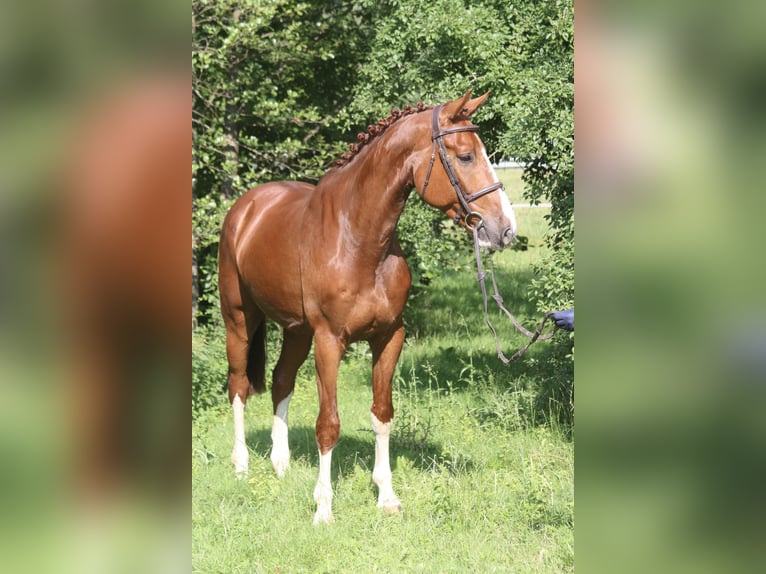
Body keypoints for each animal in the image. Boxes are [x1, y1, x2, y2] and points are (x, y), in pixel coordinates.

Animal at [218, 91, 516, 524]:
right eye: (465, 156)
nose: (505, 229)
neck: (358, 238)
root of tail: (246, 207)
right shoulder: (329, 341)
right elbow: (328, 424)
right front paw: (323, 508)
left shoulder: (389, 336)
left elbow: (382, 414)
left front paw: (387, 496)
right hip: (240, 319)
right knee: (239, 386)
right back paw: (241, 466)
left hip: (296, 330)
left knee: (280, 380)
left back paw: (280, 464)